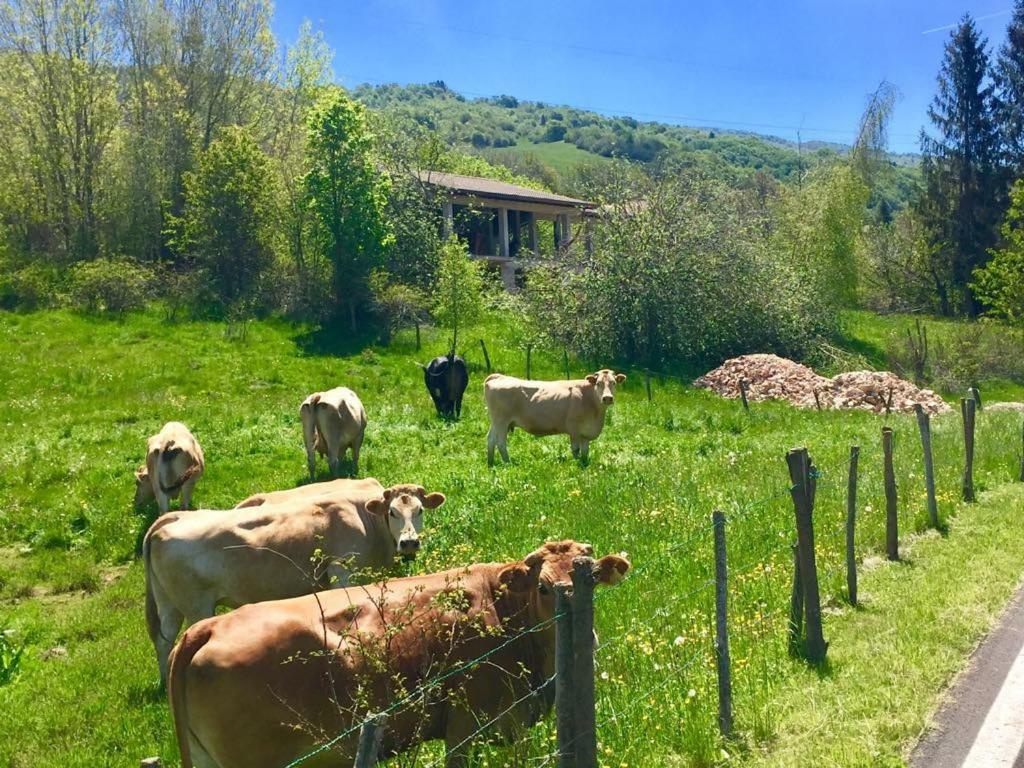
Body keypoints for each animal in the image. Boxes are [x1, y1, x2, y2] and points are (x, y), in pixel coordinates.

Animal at [144, 483, 444, 684]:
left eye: (419, 510)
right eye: (392, 512)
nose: (409, 542)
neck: (367, 521)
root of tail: (166, 521)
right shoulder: (342, 573)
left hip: (169, 605)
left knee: (163, 642)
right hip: (196, 607)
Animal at [483, 370, 626, 466]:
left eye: (614, 383)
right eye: (598, 383)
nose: (607, 398)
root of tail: (499, 376)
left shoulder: (585, 433)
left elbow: (585, 451)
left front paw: (584, 463)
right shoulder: (574, 429)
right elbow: (576, 449)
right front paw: (576, 464)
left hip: (496, 422)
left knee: (491, 439)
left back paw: (491, 463)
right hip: (501, 421)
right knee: (501, 442)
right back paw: (508, 463)